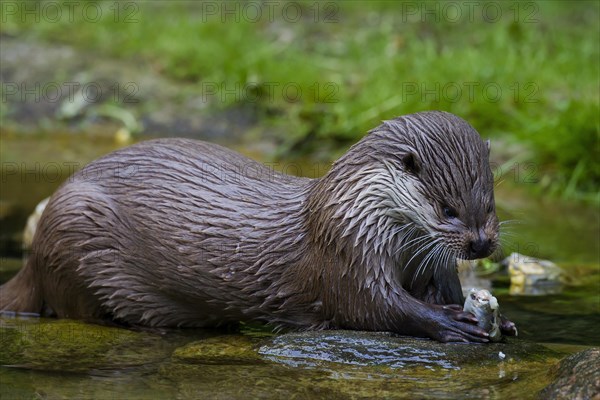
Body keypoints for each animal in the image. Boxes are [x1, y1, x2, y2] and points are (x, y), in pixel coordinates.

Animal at [0, 111, 516, 342]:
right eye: (447, 209)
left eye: (489, 204)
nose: (480, 243)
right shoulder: (344, 252)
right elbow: (372, 307)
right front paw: (451, 323)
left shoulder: (430, 263)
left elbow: (442, 289)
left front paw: (504, 320)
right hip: (75, 230)